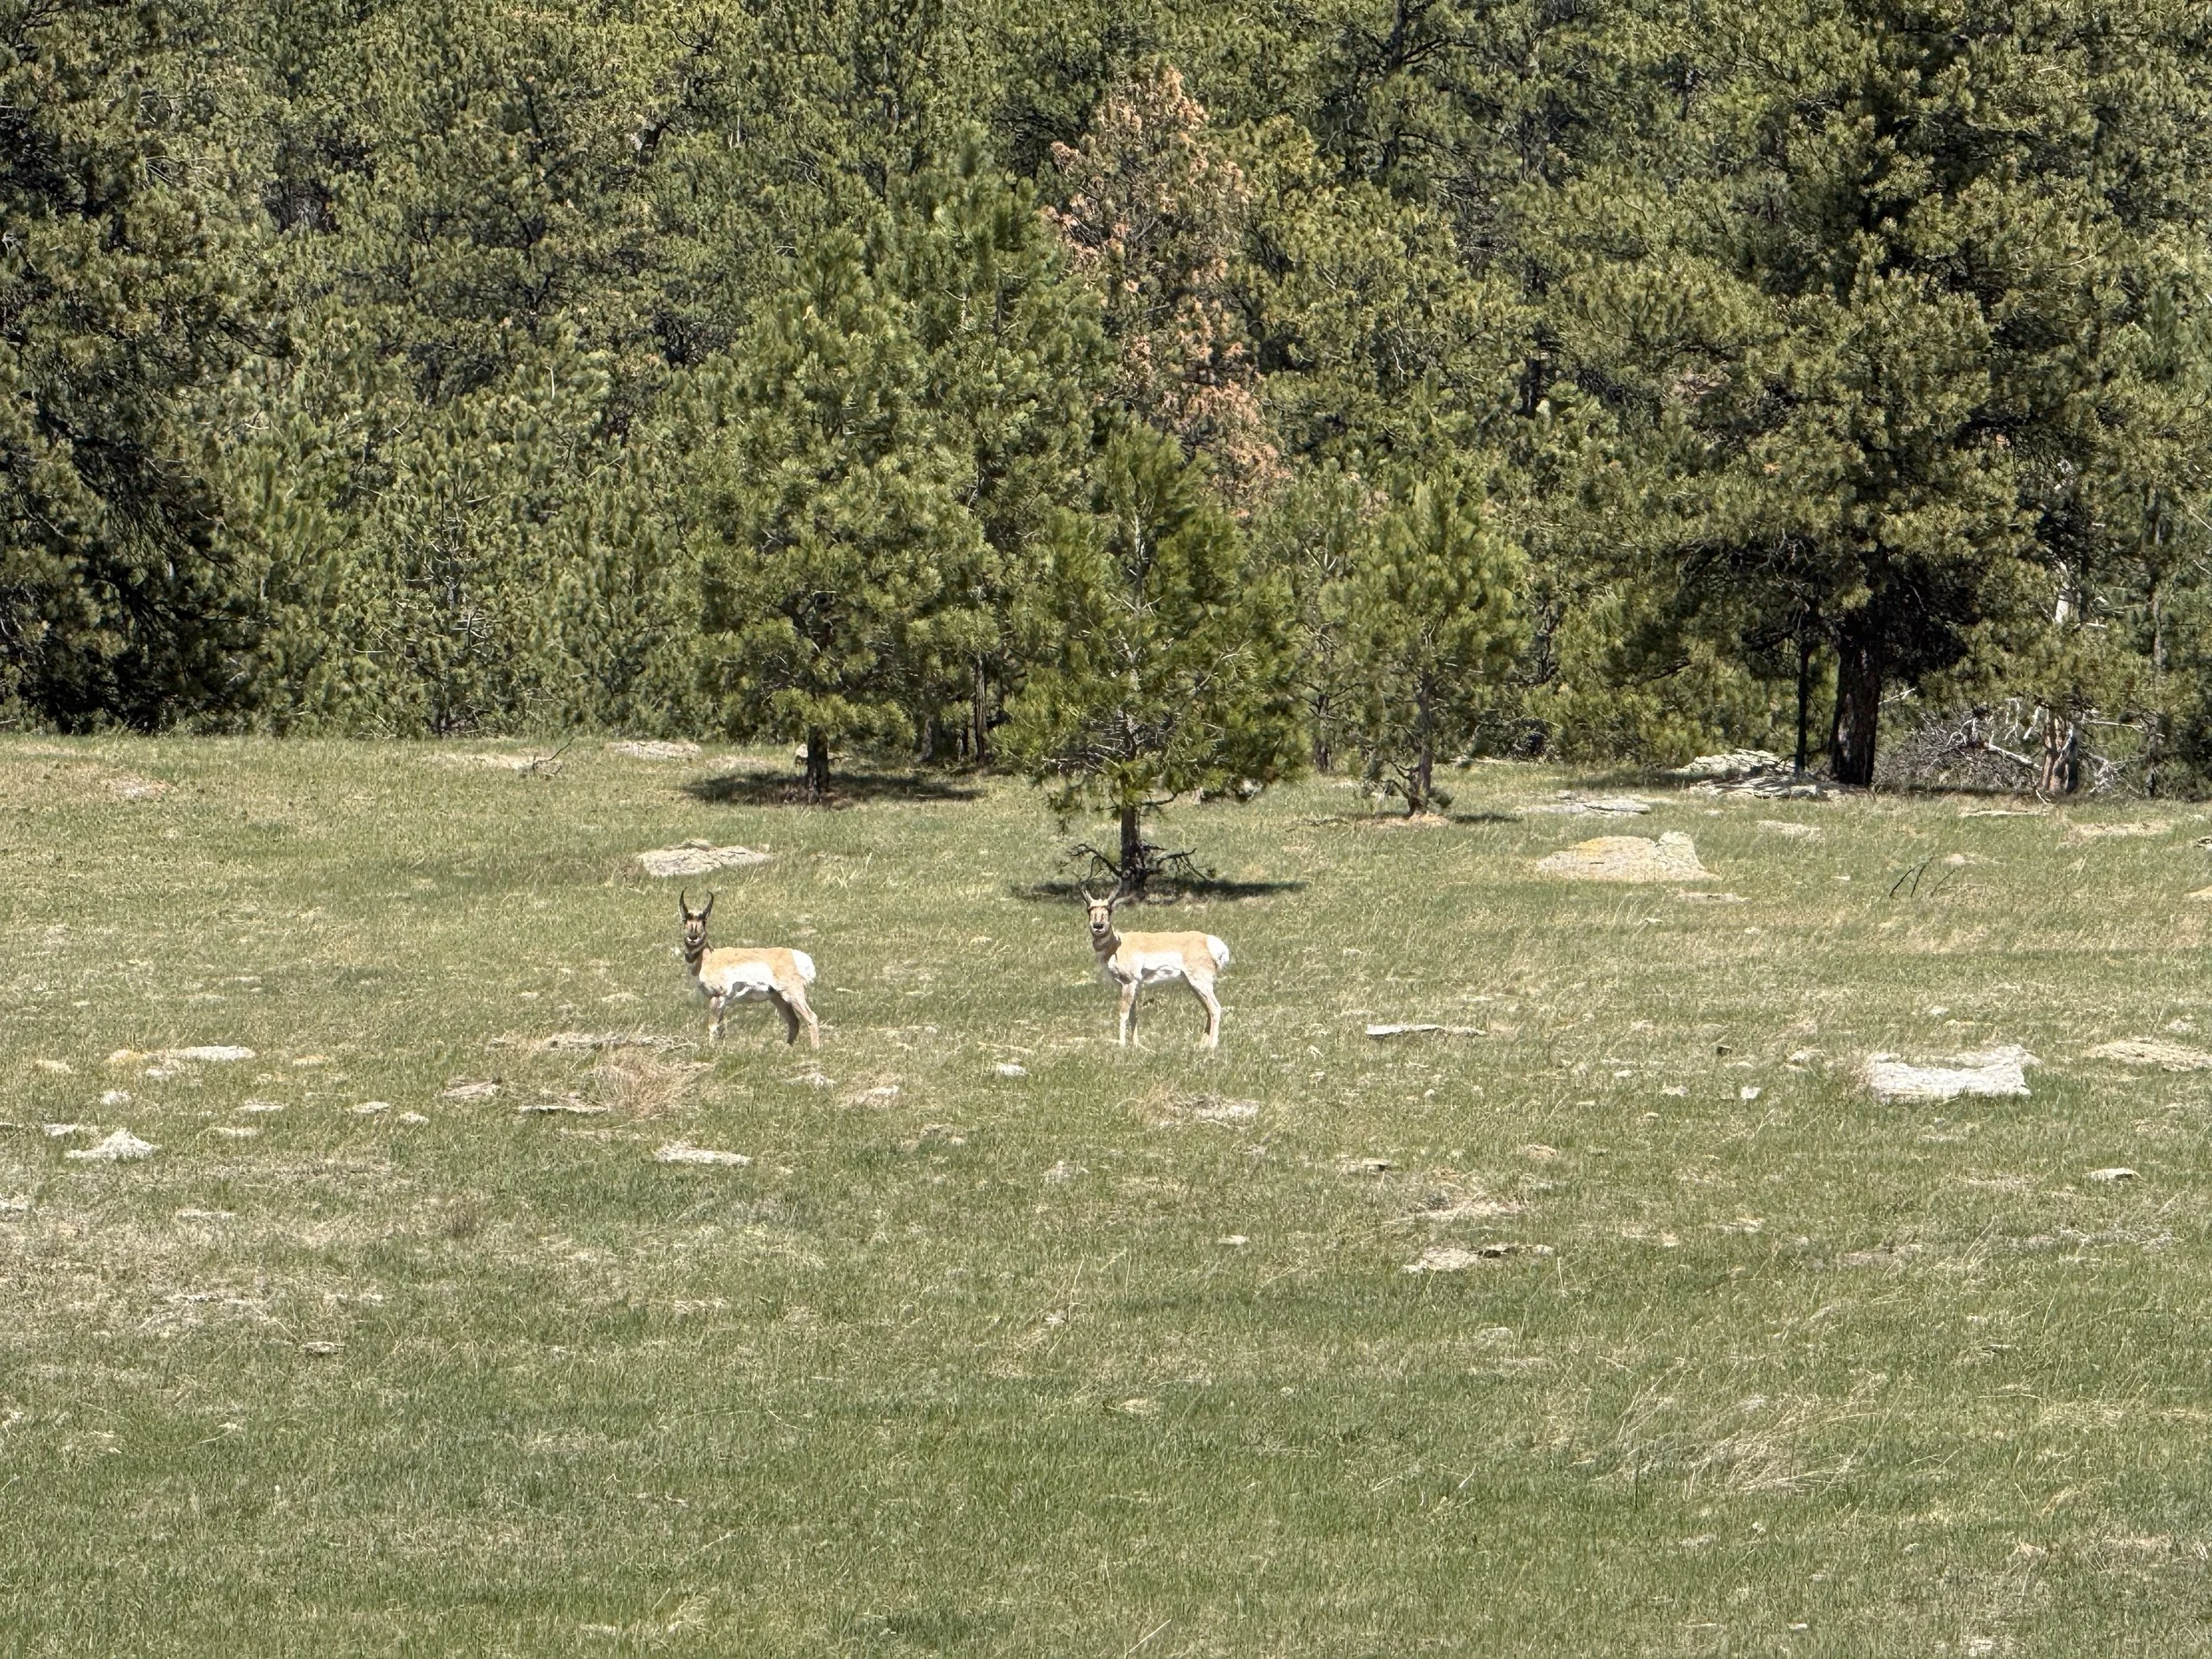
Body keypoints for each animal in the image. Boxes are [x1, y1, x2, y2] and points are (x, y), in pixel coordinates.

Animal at [678, 891, 820, 1049]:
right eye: (685, 920)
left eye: (703, 921)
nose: (693, 937)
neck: (709, 956)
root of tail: (792, 954)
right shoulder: (721, 1001)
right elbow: (721, 1027)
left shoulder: (717, 996)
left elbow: (713, 1026)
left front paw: (711, 1048)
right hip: (778, 998)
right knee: (794, 1022)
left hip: (792, 993)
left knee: (811, 1017)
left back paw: (815, 1049)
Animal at [1083, 887, 1231, 1049]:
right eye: (1089, 909)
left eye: (1109, 910)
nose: (1098, 925)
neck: (1117, 944)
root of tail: (1207, 940)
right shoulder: (1135, 987)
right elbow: (1133, 1015)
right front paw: (1136, 1045)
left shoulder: (1129, 983)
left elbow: (1124, 1013)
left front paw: (1122, 1045)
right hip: (1193, 986)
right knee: (1208, 1009)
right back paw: (1201, 1045)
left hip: (1201, 984)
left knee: (1215, 1008)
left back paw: (1212, 1046)